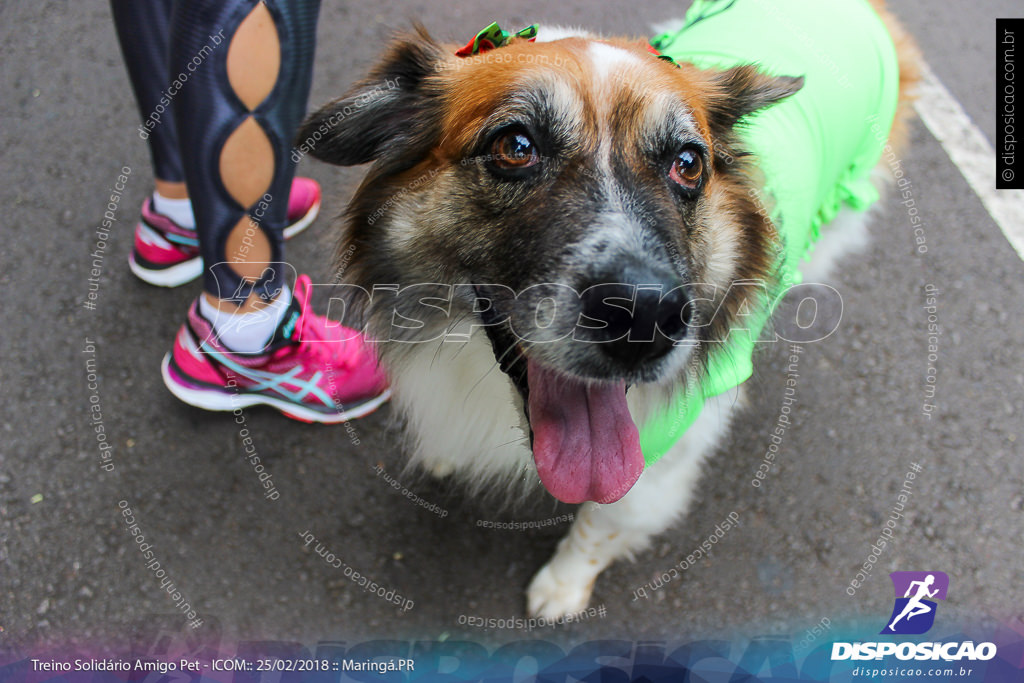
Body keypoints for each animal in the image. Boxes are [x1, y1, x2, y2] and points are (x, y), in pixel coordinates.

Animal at [296, 0, 921, 618]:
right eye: (515, 147)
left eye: (688, 163)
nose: (646, 318)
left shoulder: (663, 458)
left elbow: (602, 522)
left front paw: (563, 586)